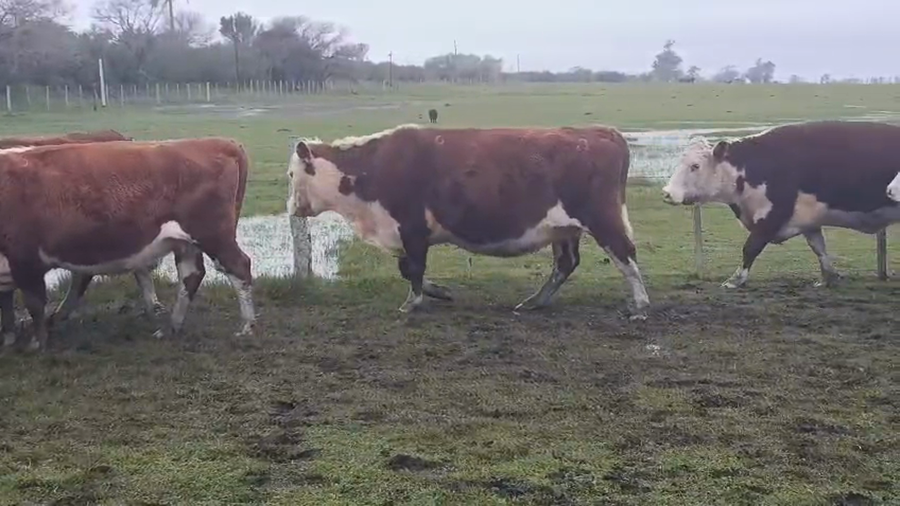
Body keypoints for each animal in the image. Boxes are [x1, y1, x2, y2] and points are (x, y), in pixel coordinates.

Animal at [0, 137, 256, 351]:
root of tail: (217, 142)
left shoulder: (25, 259)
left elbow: (34, 303)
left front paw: (36, 344)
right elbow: (7, 306)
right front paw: (9, 339)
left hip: (213, 234)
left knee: (239, 267)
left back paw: (247, 327)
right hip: (186, 243)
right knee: (191, 275)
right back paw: (171, 328)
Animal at [286, 124, 650, 319]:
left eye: (292, 174)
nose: (291, 207)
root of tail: (600, 132)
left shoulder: (412, 228)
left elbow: (413, 269)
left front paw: (412, 303)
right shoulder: (408, 234)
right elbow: (408, 269)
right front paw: (441, 292)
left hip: (602, 218)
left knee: (625, 254)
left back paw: (641, 304)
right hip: (564, 229)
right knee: (566, 263)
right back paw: (535, 302)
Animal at [661, 120, 900, 289]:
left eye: (695, 166)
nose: (666, 193)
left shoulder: (771, 217)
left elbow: (750, 248)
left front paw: (735, 280)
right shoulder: (809, 221)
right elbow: (819, 249)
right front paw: (828, 278)